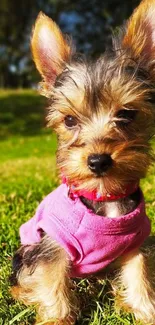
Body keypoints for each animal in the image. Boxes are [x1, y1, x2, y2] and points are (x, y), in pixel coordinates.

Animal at [10, 0, 155, 322]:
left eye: (127, 114)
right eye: (69, 120)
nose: (98, 161)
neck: (104, 196)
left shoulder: (136, 242)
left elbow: (139, 272)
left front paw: (145, 310)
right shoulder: (51, 246)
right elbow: (52, 283)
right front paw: (55, 318)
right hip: (26, 251)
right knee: (24, 277)